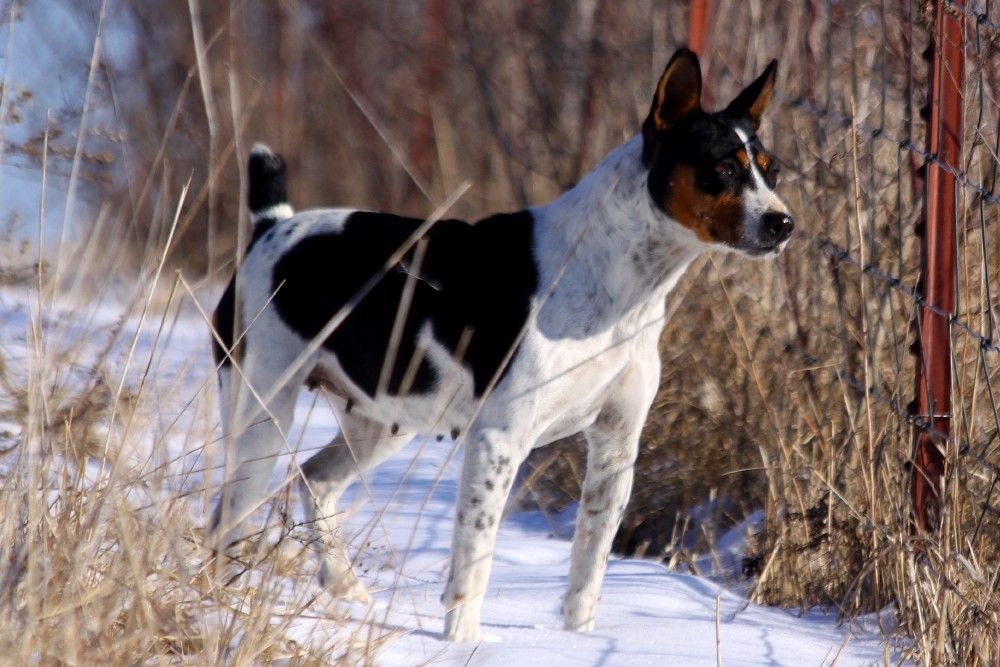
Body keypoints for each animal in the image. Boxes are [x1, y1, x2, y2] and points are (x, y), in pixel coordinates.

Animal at [209, 47, 788, 640]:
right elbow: (474, 559)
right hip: (262, 415)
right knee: (227, 516)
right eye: (723, 169)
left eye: (772, 170)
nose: (782, 223)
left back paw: (346, 590)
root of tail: (270, 228)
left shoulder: (616, 448)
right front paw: (462, 642)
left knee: (314, 482)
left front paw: (577, 642)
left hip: (381, 423)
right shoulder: (499, 440)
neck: (618, 282)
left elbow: (588, 571)